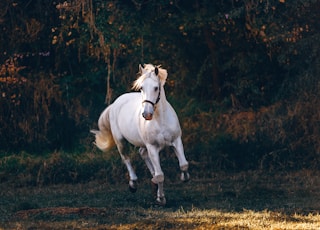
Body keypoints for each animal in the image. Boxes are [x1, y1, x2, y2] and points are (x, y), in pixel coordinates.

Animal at [90, 63, 190, 205]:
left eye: (156, 88)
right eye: (141, 88)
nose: (146, 114)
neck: (160, 120)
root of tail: (115, 103)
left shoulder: (176, 141)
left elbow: (183, 165)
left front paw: (183, 177)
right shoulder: (152, 147)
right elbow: (160, 175)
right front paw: (161, 198)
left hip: (143, 144)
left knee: (142, 154)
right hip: (120, 141)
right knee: (126, 158)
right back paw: (133, 184)